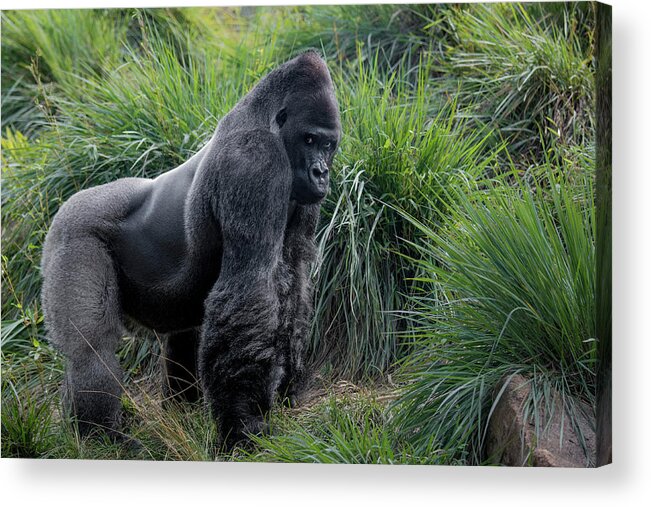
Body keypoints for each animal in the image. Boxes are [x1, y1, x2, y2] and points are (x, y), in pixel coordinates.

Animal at [41, 50, 344, 448]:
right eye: (309, 139)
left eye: (328, 144)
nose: (321, 173)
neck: (265, 118)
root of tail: (67, 203)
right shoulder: (255, 162)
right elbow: (251, 286)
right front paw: (244, 423)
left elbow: (295, 283)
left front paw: (288, 390)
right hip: (74, 232)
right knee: (90, 350)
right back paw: (101, 437)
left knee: (183, 334)